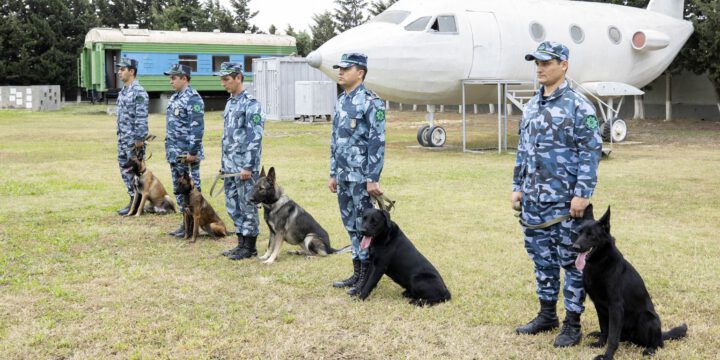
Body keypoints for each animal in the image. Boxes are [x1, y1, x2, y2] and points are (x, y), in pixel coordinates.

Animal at [572, 204, 688, 358]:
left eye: (591, 235)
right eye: (578, 233)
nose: (574, 247)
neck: (599, 263)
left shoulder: (615, 307)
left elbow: (613, 337)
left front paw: (607, 355)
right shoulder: (599, 305)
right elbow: (604, 329)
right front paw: (600, 344)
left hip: (648, 318)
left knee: (658, 344)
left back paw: (650, 349)